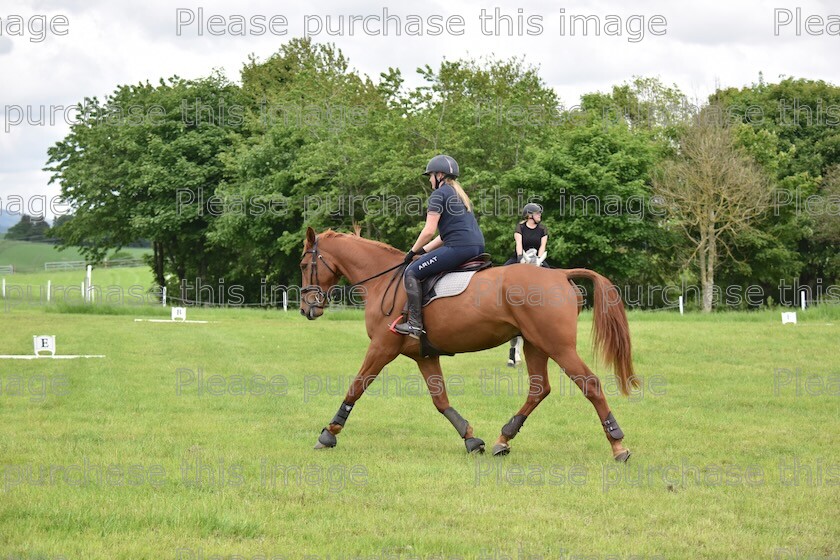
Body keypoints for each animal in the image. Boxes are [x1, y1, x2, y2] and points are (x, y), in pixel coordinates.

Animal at [302, 225, 636, 462]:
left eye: (304, 264)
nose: (307, 309)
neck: (383, 281)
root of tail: (561, 275)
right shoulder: (424, 356)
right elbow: (441, 400)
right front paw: (471, 438)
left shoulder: (382, 348)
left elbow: (356, 387)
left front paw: (329, 433)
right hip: (535, 344)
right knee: (539, 389)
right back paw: (503, 439)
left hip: (558, 347)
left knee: (589, 384)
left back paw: (618, 444)